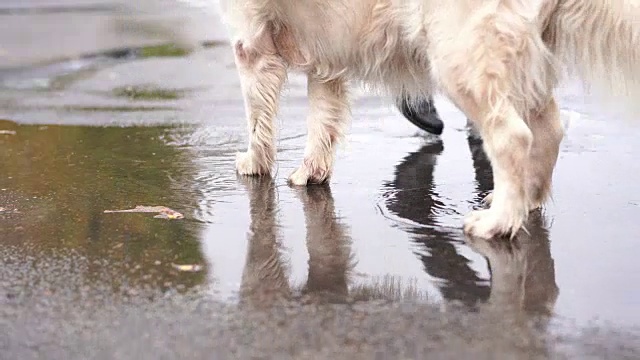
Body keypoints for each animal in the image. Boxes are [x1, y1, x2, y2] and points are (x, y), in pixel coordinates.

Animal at [218, 1, 640, 240]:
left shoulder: (250, 41)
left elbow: (257, 117)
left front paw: (254, 165)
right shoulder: (325, 57)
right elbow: (322, 121)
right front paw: (311, 173)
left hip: (459, 56)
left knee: (512, 136)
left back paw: (498, 222)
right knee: (548, 130)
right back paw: (525, 202)